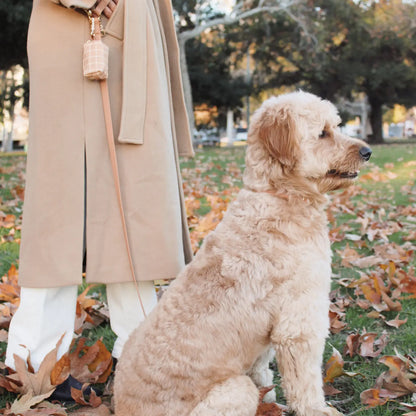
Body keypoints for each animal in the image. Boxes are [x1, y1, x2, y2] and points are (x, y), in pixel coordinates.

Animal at [114, 92, 374, 416]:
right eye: (323, 133)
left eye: (337, 126)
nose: (368, 151)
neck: (279, 195)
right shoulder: (298, 320)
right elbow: (304, 381)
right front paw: (316, 409)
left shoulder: (268, 332)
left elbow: (262, 368)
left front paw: (272, 398)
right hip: (236, 390)